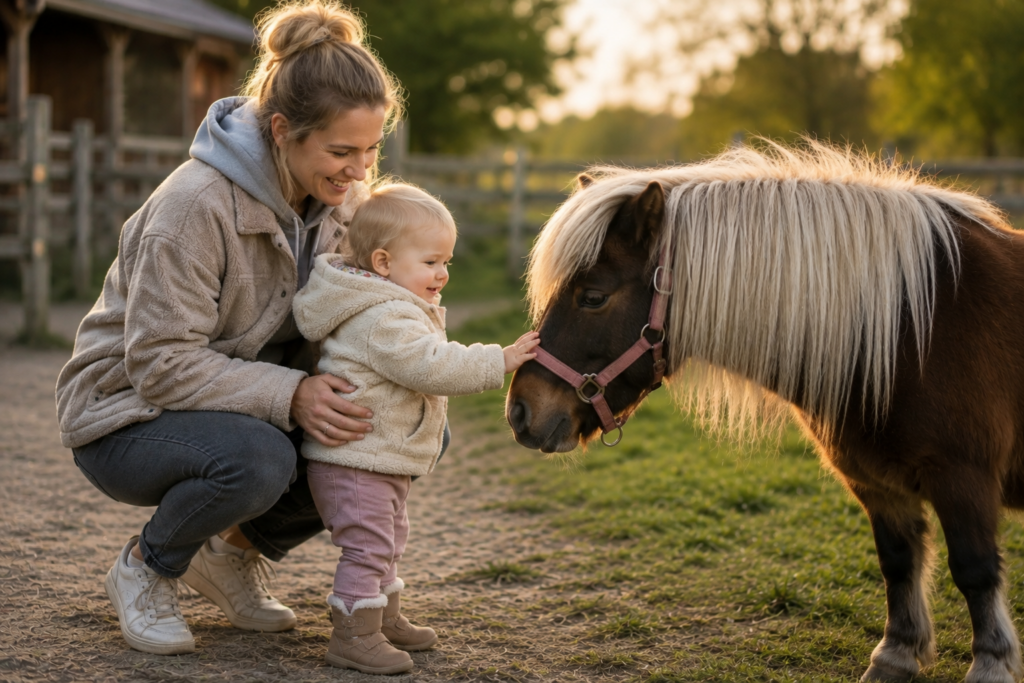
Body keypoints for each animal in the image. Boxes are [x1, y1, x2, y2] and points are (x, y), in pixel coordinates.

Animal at [505, 140, 1024, 683]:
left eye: (593, 297)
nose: (521, 412)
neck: (910, 331)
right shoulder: (877, 483)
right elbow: (898, 561)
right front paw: (897, 654)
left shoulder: (963, 476)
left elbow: (975, 568)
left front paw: (991, 663)